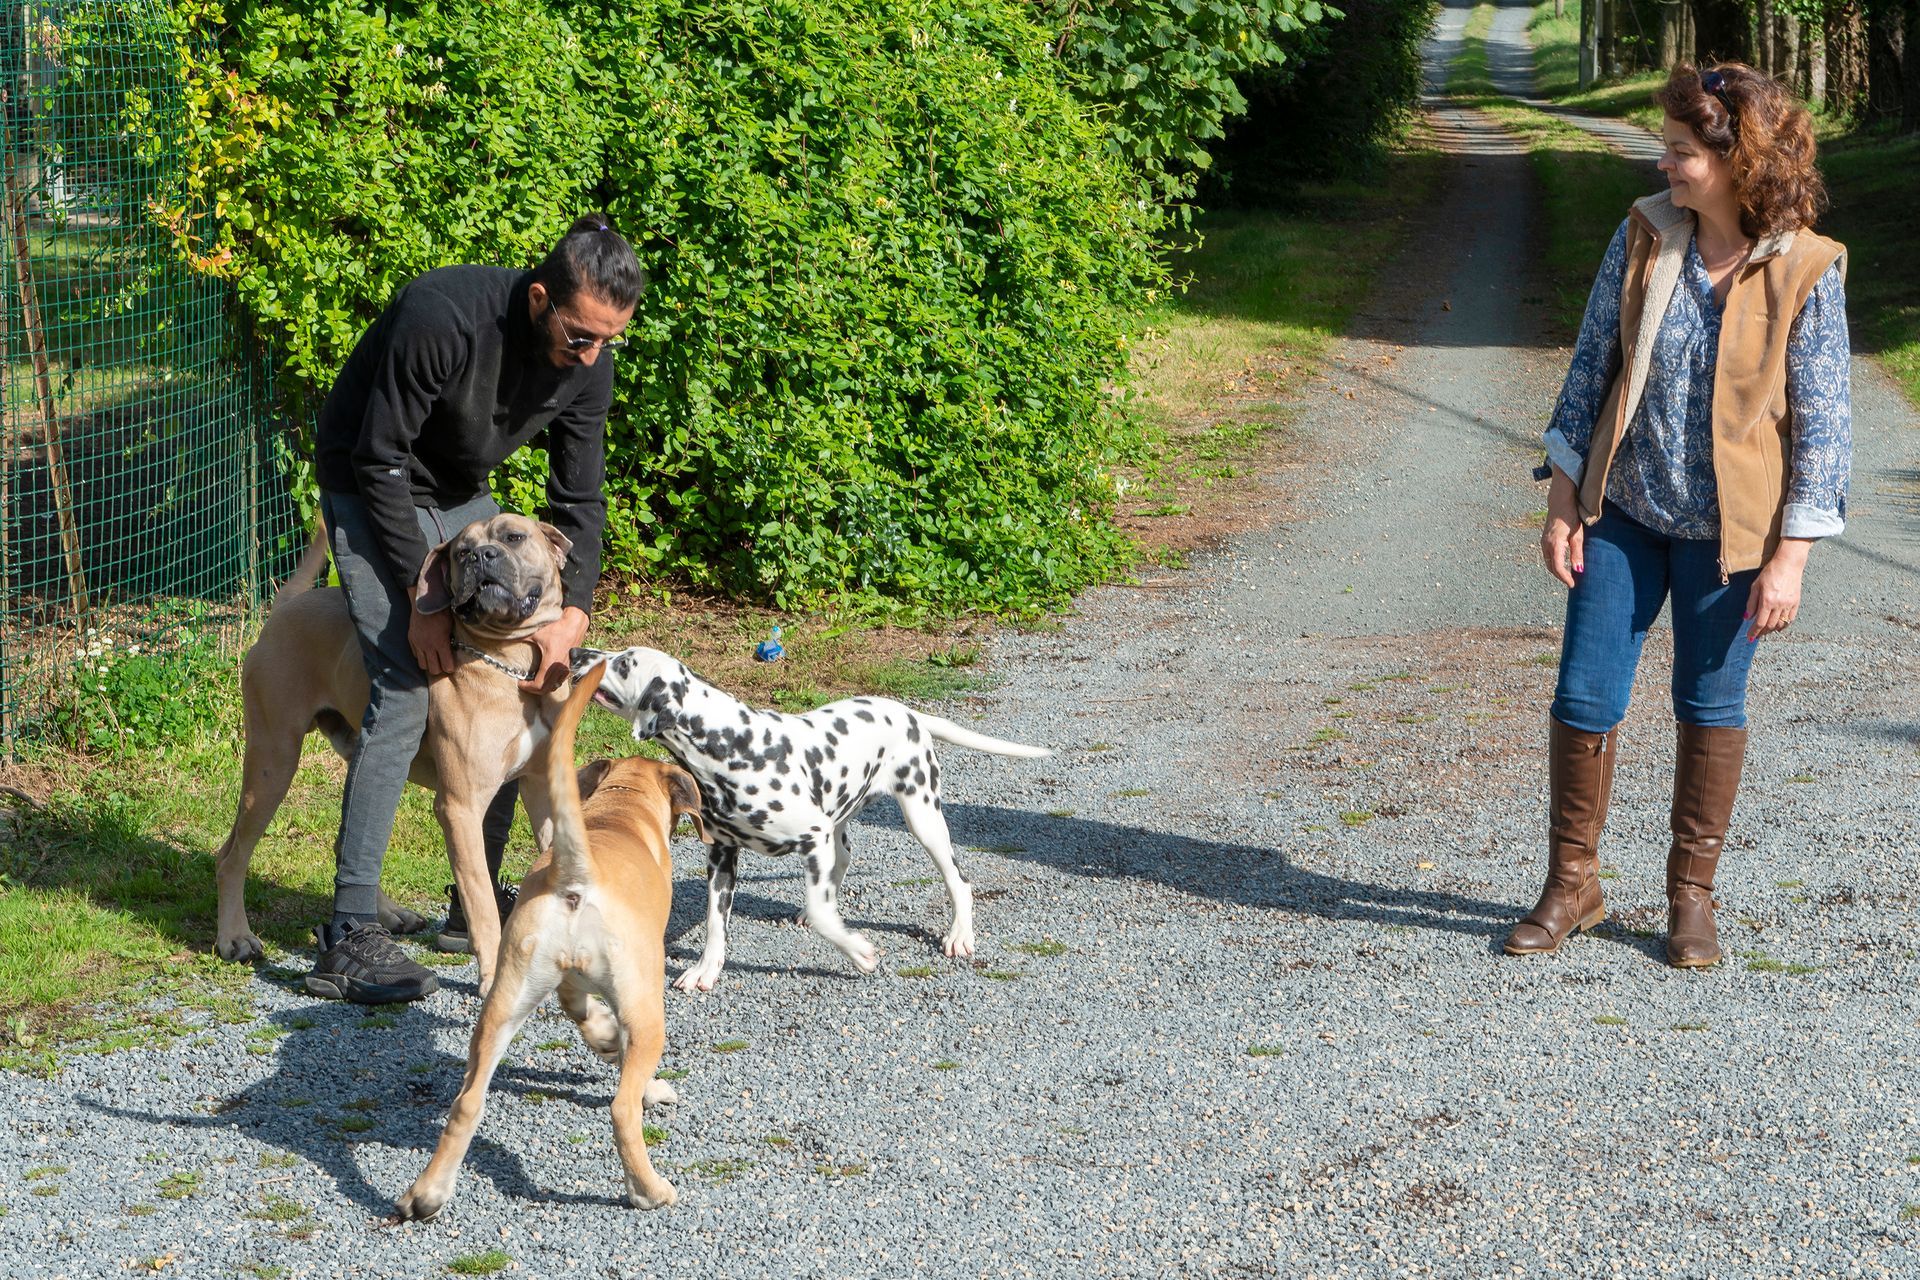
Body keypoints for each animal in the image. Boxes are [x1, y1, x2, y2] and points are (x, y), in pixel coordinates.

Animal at [211, 510, 572, 990]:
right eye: (461, 552)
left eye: (514, 537)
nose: (481, 556)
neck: (511, 662)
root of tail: (285, 609)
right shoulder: (460, 806)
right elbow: (480, 901)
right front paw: (494, 973)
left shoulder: (542, 788)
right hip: (273, 761)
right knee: (232, 855)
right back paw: (235, 938)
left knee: (351, 841)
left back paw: (389, 915)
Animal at [393, 660, 702, 1220]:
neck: (620, 808)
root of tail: (575, 875)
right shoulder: (637, 1001)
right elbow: (628, 1065)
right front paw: (649, 1085)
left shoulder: (570, 989)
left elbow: (586, 1017)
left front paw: (602, 1037)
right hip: (647, 1010)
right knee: (620, 1110)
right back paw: (648, 1189)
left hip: (503, 1002)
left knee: (466, 1102)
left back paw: (426, 1195)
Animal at [568, 644, 1052, 997]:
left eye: (624, 662)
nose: (575, 652)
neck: (734, 747)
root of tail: (909, 713)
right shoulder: (722, 856)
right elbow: (715, 923)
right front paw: (706, 970)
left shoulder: (810, 838)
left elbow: (824, 915)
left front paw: (859, 953)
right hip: (838, 820)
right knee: (844, 858)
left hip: (922, 817)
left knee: (958, 881)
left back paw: (958, 934)